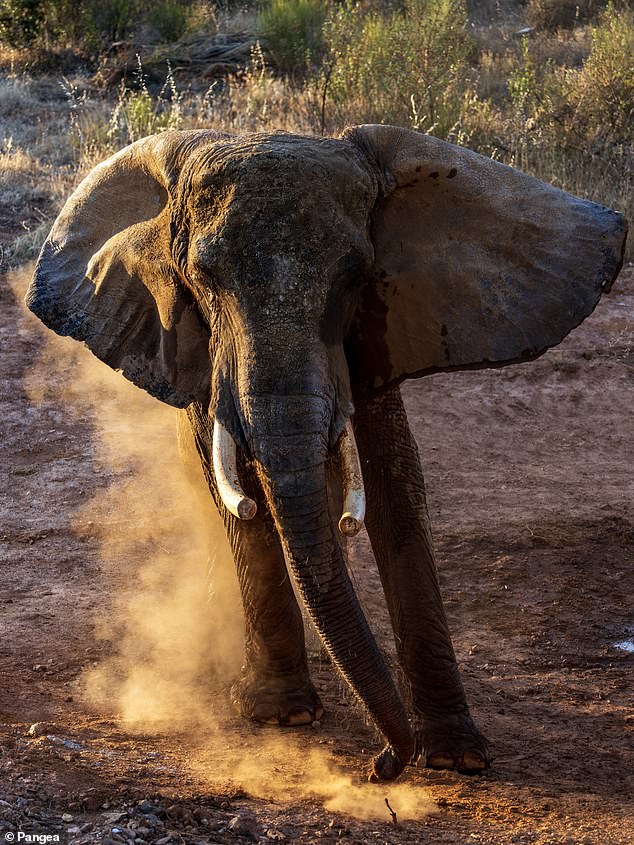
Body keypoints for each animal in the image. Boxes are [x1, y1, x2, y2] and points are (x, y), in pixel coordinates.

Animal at [25, 124, 627, 782]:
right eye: (202, 279)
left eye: (354, 277)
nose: (382, 764)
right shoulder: (193, 345)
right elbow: (239, 493)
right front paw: (282, 716)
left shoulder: (382, 321)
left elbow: (396, 489)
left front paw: (457, 755)